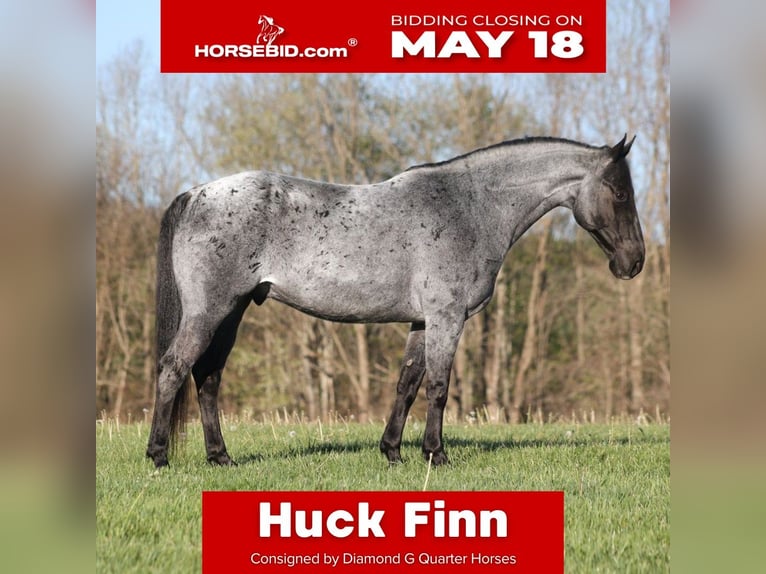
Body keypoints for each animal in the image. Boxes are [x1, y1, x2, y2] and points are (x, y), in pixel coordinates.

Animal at [146, 135, 644, 468]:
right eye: (621, 193)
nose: (634, 262)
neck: (470, 207)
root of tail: (195, 195)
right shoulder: (447, 317)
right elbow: (438, 387)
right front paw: (436, 455)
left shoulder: (422, 322)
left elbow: (407, 384)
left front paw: (392, 452)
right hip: (210, 312)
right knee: (174, 369)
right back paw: (158, 456)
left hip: (231, 312)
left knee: (208, 378)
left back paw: (221, 457)